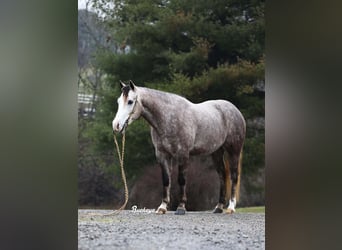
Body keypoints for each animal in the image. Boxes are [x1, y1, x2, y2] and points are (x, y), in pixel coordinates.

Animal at [113, 80, 246, 215]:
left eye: (130, 101)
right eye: (118, 101)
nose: (116, 125)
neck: (168, 118)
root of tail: (235, 110)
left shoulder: (183, 154)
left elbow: (181, 180)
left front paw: (181, 207)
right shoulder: (162, 155)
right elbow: (166, 180)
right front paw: (162, 207)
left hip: (233, 151)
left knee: (234, 176)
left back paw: (231, 207)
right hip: (217, 152)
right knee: (222, 176)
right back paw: (218, 207)